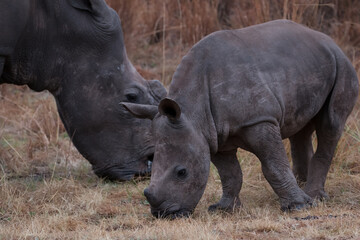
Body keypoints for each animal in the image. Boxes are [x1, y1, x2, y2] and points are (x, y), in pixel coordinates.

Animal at [122, 19, 358, 217]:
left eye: (182, 172)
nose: (163, 214)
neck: (192, 111)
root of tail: (327, 39)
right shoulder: (212, 134)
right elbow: (230, 173)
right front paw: (223, 209)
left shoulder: (259, 120)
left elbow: (273, 166)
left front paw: (299, 207)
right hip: (306, 66)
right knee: (300, 128)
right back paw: (303, 187)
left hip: (343, 65)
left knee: (331, 124)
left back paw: (314, 197)